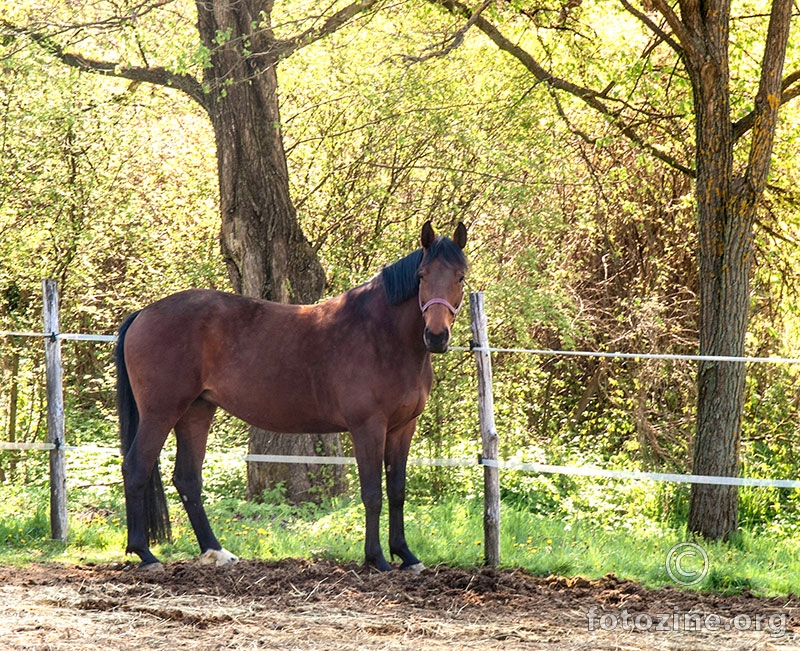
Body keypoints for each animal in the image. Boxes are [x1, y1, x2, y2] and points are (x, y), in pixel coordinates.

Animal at [117, 222, 468, 572]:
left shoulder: (402, 427)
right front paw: (377, 558)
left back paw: (216, 551)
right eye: (421, 275)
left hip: (197, 410)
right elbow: (372, 494)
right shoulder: (368, 427)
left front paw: (406, 555)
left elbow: (396, 492)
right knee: (136, 467)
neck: (380, 335)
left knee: (188, 478)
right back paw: (145, 554)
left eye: (460, 276)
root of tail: (144, 313)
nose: (437, 336)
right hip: (161, 411)